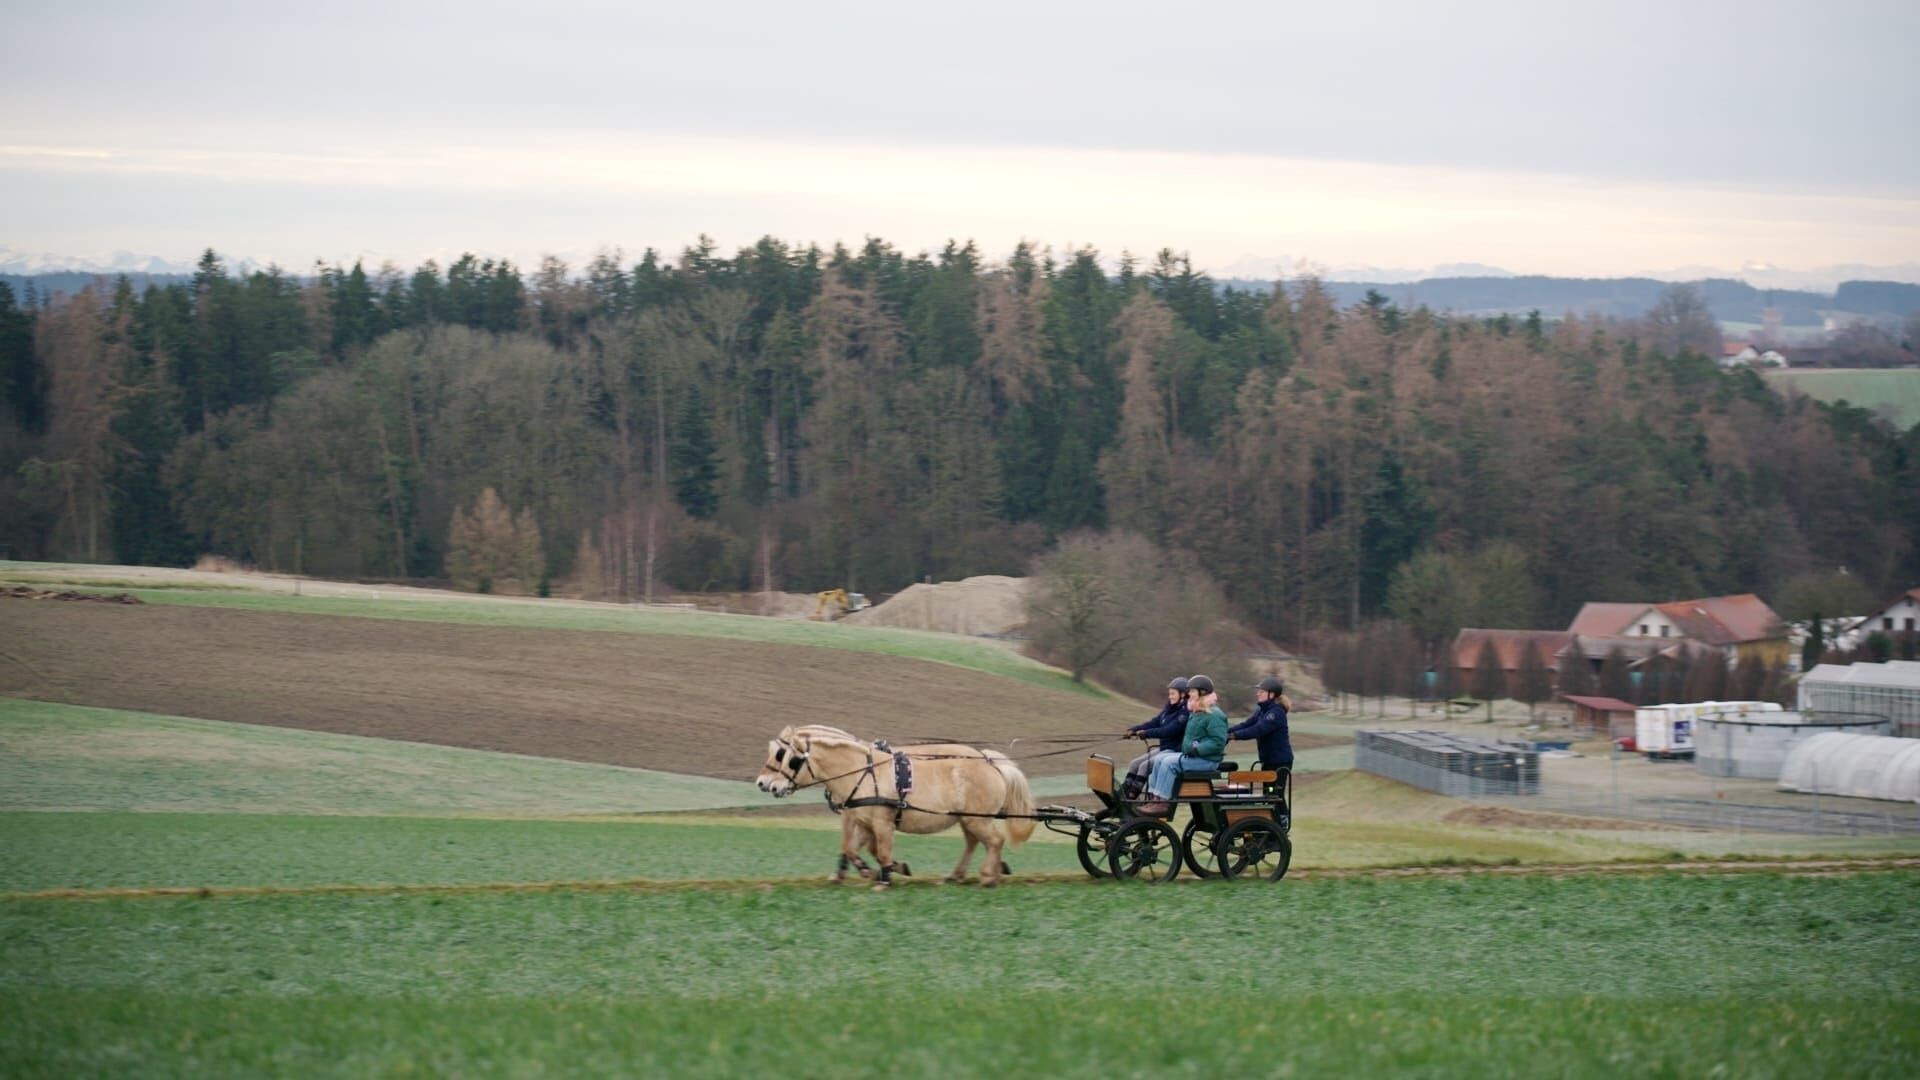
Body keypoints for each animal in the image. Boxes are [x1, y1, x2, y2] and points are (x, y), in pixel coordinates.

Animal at [752, 722, 1036, 883]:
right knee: (975, 842)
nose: (766, 784)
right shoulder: (864, 820)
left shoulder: (879, 821)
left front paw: (884, 876)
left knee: (995, 841)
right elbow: (855, 848)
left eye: (786, 757)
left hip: (977, 819)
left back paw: (989, 875)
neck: (862, 771)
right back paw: (961, 874)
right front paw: (869, 871)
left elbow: (875, 849)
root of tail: (990, 762)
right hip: (968, 819)